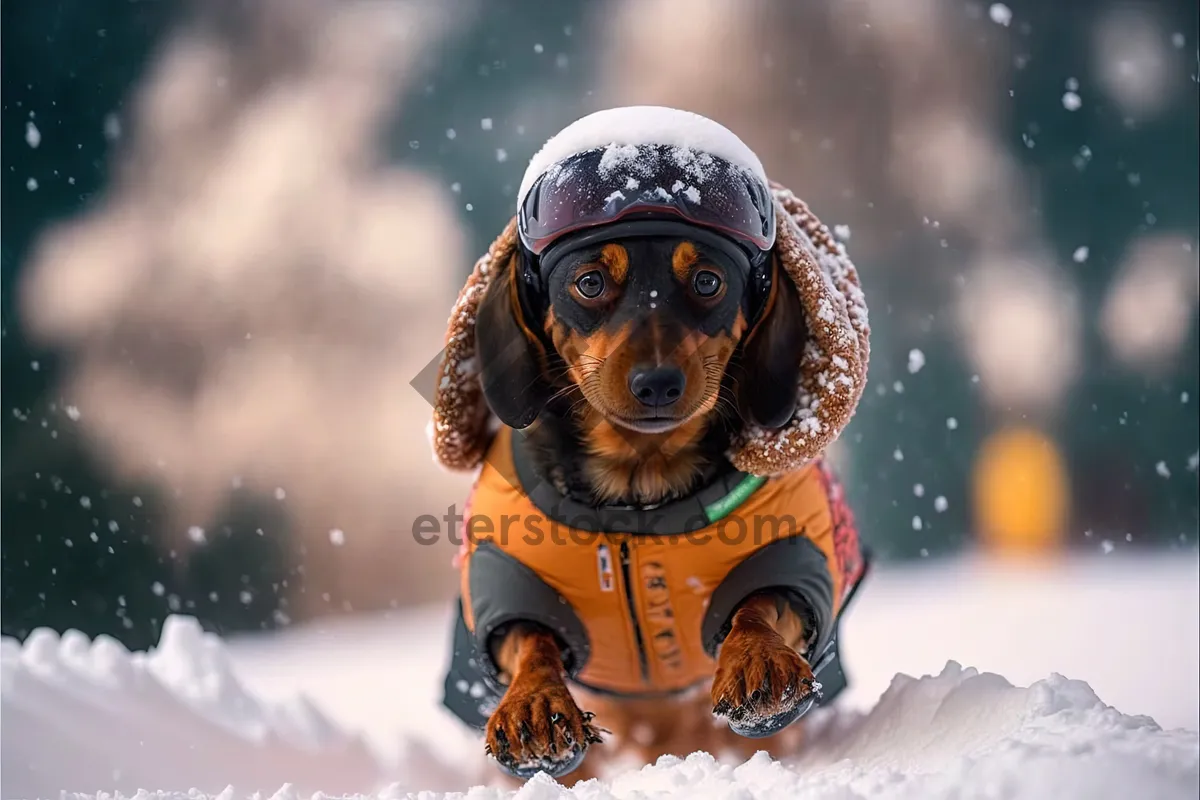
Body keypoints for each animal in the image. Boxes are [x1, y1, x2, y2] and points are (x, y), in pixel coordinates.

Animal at [436, 220, 868, 786]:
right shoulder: (508, 586)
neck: (635, 499)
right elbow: (530, 640)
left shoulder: (794, 557)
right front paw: (535, 704)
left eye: (708, 281)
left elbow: (759, 603)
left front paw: (758, 658)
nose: (658, 383)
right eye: (590, 283)